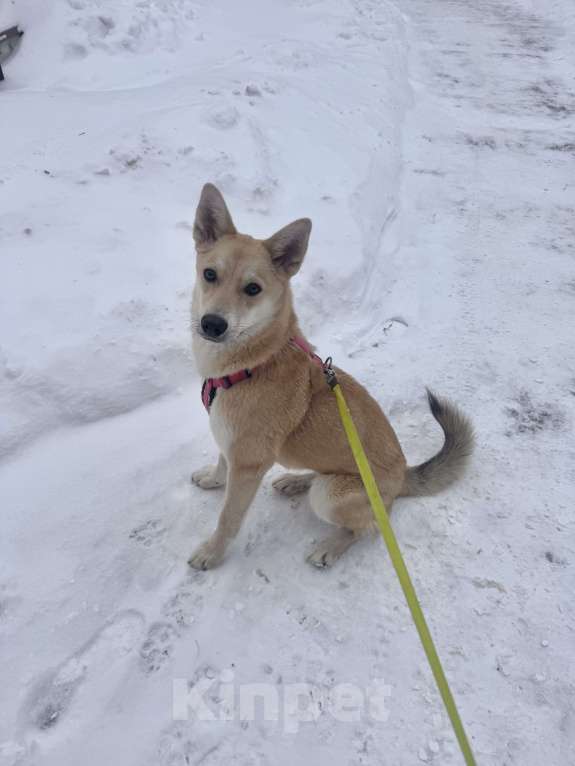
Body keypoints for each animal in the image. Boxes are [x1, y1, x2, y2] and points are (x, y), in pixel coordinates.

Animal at [188, 184, 472, 568]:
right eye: (209, 274)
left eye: (253, 289)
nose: (212, 324)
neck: (253, 363)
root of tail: (402, 478)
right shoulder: (232, 444)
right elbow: (221, 465)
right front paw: (212, 479)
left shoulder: (247, 463)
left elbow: (228, 518)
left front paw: (212, 553)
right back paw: (295, 482)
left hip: (332, 495)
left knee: (369, 527)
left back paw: (331, 546)